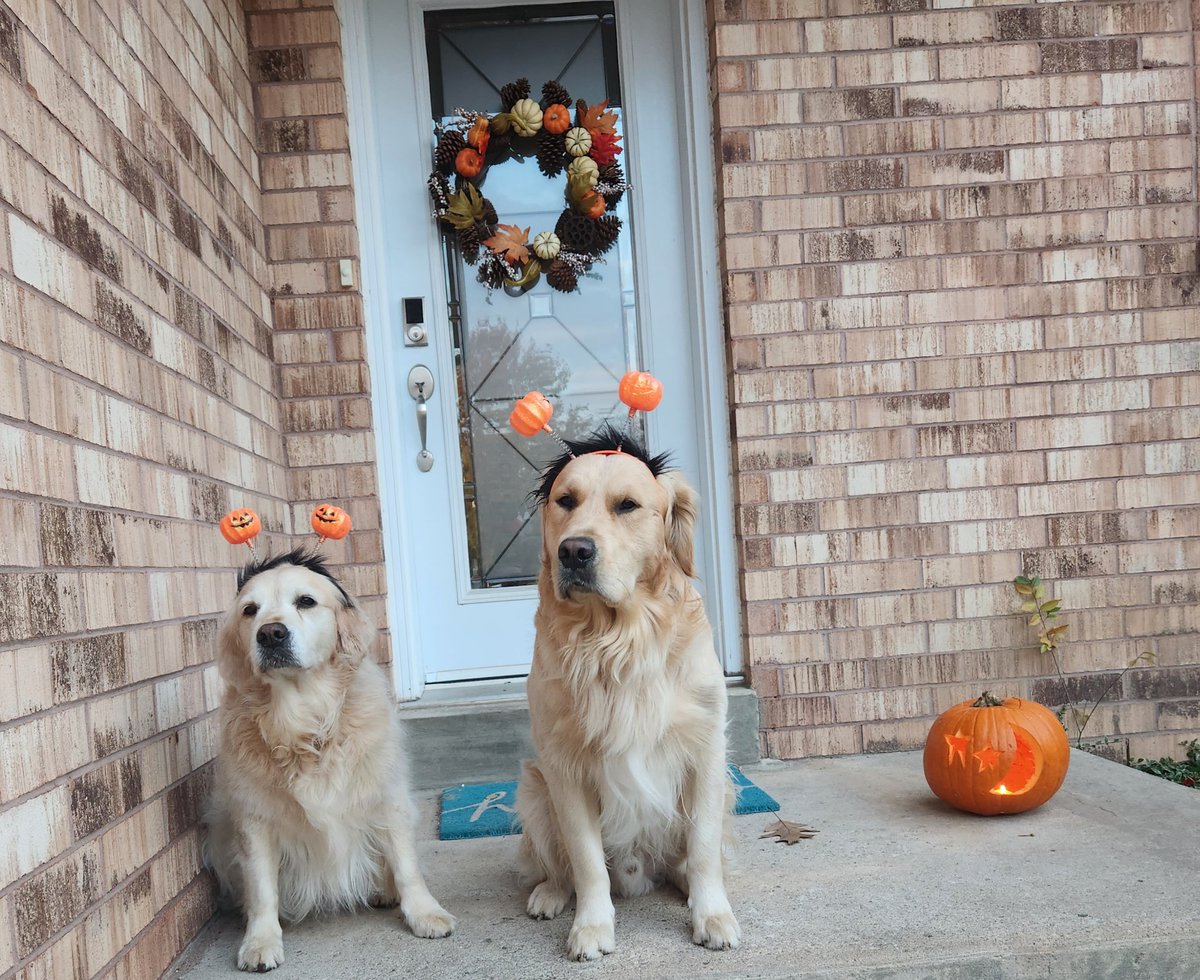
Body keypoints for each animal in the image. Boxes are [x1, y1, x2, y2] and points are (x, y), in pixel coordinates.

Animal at [206, 551, 453, 969]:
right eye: (249, 610)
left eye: (305, 601)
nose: (270, 634)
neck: (302, 722)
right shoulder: (254, 819)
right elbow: (262, 887)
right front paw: (260, 940)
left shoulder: (388, 798)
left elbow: (406, 866)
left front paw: (424, 912)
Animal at [518, 427, 739, 954]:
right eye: (565, 500)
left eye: (628, 505)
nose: (573, 551)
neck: (615, 640)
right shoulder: (563, 765)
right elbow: (586, 861)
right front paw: (592, 927)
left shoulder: (706, 751)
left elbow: (704, 849)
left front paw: (712, 914)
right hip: (533, 789)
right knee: (560, 867)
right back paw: (549, 894)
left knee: (689, 860)